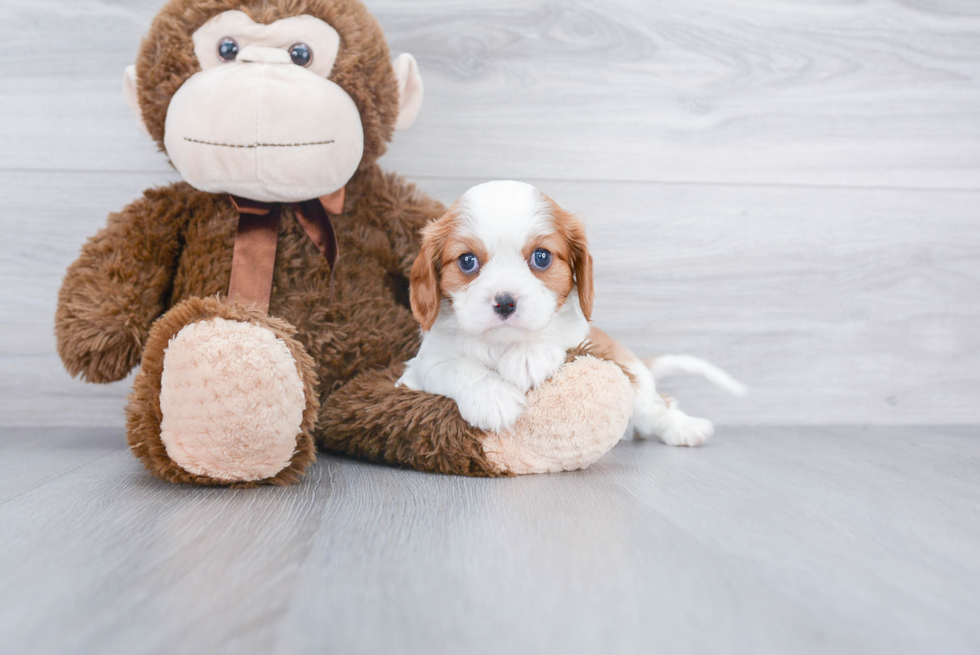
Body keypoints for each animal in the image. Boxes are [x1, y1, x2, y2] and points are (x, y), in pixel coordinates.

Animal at [394, 179, 740, 446]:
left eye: (542, 257)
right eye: (467, 261)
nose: (505, 301)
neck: (502, 343)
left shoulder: (579, 334)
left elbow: (560, 333)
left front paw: (528, 356)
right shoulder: (422, 365)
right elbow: (454, 367)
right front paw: (491, 396)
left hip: (636, 385)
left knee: (658, 406)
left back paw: (685, 427)